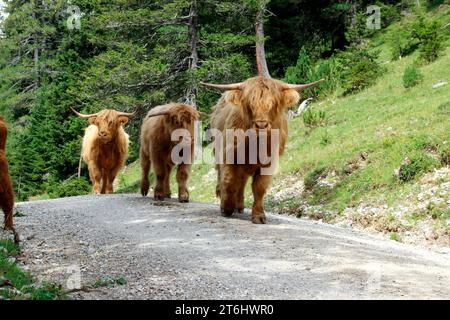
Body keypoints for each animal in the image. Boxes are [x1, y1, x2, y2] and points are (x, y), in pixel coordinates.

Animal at [201, 5, 324, 225]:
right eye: (250, 103)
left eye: (273, 104)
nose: (261, 125)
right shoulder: (229, 155)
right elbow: (229, 180)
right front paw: (226, 206)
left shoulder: (268, 161)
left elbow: (259, 187)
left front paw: (258, 215)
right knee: (226, 178)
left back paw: (240, 206)